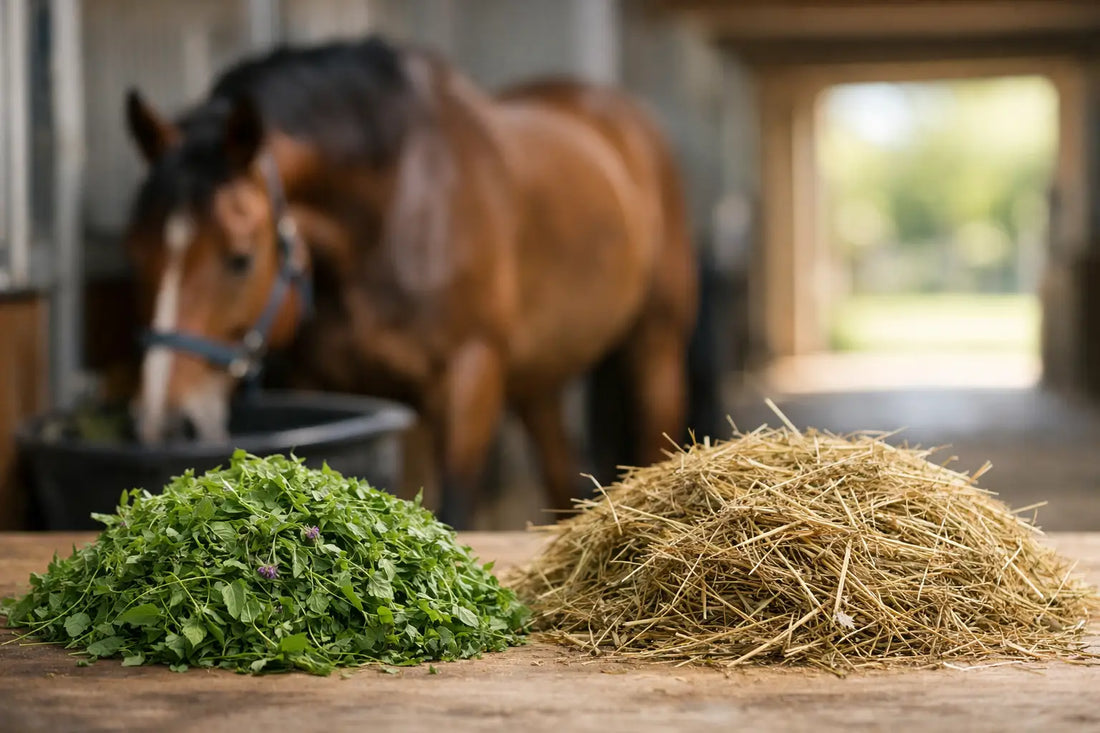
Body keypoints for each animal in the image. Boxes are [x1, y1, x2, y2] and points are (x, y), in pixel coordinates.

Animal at [122, 36, 698, 529]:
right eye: (138, 255)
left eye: (240, 258)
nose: (164, 425)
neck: (399, 203)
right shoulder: (339, 386)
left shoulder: (469, 377)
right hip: (536, 376)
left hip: (656, 339)